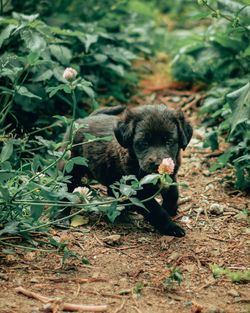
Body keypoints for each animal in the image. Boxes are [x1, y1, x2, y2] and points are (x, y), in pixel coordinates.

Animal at [60, 103, 191, 235]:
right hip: (70, 167)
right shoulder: (137, 192)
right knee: (65, 190)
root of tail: (82, 120)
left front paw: (171, 209)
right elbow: (156, 211)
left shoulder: (171, 175)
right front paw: (172, 227)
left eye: (169, 141)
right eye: (144, 143)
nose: (158, 164)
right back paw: (62, 217)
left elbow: (173, 193)